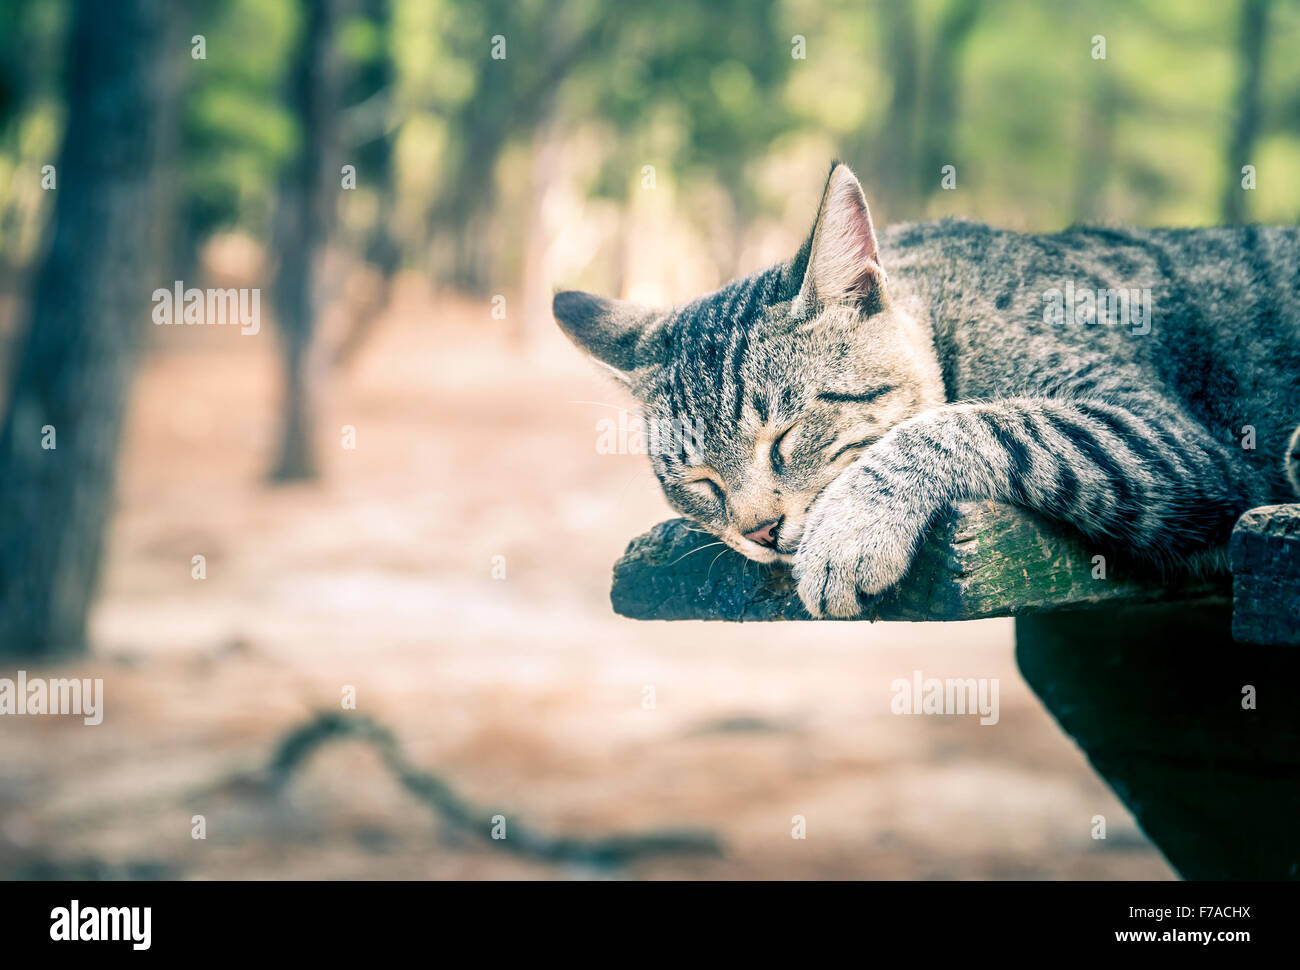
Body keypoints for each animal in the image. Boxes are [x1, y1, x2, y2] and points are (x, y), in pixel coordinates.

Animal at [551, 158, 1300, 611]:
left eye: (785, 438)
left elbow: (982, 422)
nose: (760, 530)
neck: (945, 304)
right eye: (699, 481)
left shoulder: (1173, 438)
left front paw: (851, 523)